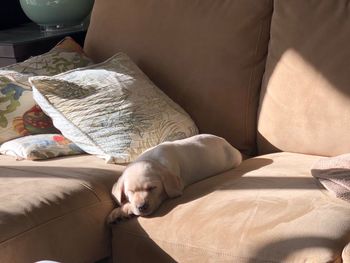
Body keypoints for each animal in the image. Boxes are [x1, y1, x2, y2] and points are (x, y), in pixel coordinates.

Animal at [108, 134, 242, 225]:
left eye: (152, 188)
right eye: (130, 192)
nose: (141, 207)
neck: (153, 160)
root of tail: (230, 145)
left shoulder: (175, 188)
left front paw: (123, 210)